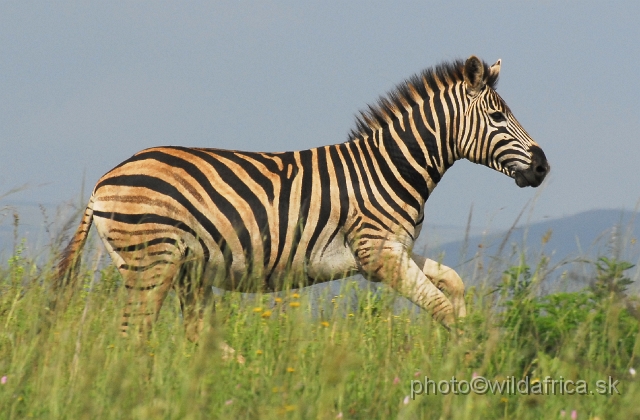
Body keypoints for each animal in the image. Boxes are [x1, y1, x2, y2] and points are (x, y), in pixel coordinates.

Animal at [55, 56, 552, 342]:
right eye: (497, 117)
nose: (543, 167)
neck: (389, 167)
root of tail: (103, 181)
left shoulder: (391, 250)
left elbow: (454, 284)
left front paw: (470, 341)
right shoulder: (378, 254)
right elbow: (441, 305)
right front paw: (467, 362)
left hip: (186, 270)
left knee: (195, 336)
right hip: (151, 263)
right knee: (133, 336)